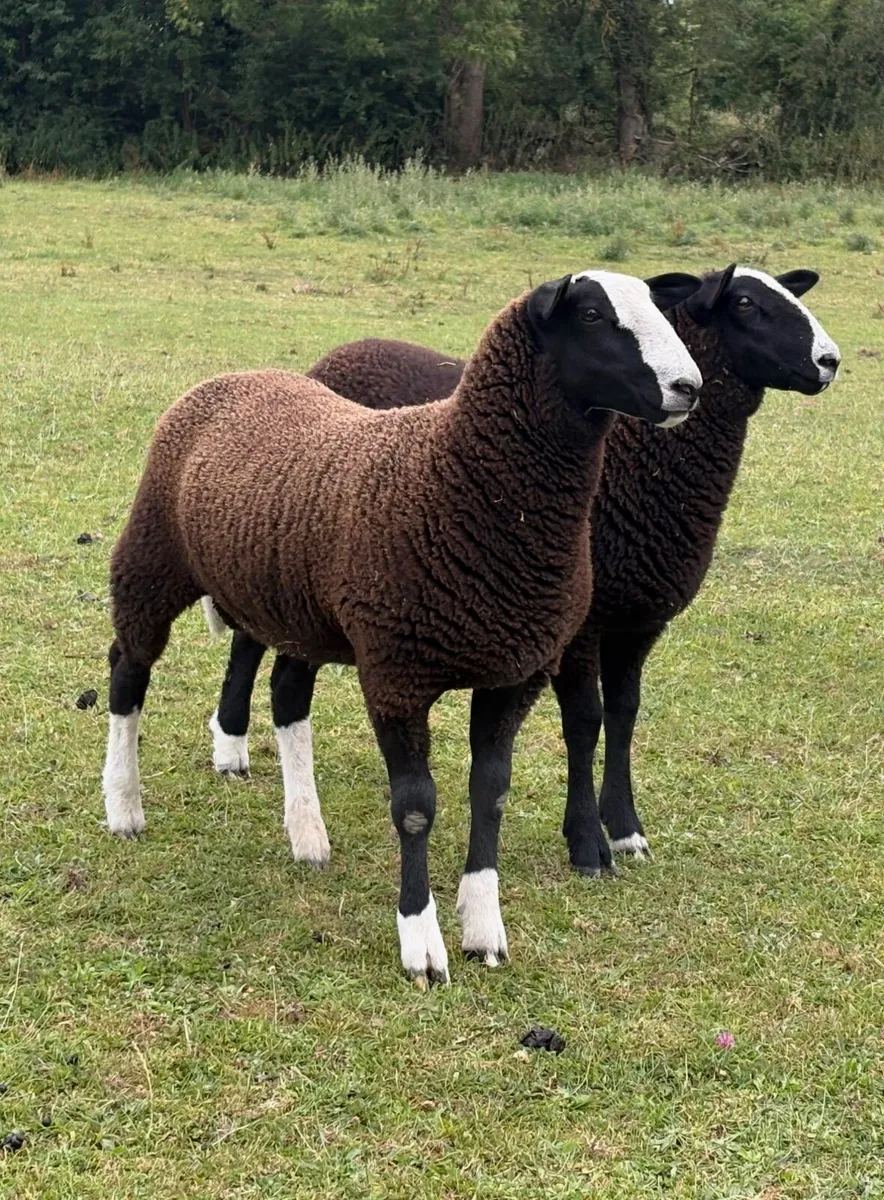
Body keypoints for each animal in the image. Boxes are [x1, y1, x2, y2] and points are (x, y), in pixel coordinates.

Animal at [102, 269, 703, 984]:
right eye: (589, 315)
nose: (690, 387)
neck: (461, 482)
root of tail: (235, 376)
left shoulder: (514, 673)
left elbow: (489, 794)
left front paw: (484, 929)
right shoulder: (397, 675)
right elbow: (415, 808)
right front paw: (422, 944)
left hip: (298, 608)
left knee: (287, 696)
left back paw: (308, 836)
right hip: (152, 560)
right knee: (127, 671)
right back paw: (124, 808)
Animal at [208, 263, 840, 877]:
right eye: (746, 304)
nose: (830, 361)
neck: (641, 463)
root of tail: (336, 356)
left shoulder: (638, 619)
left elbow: (625, 714)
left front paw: (626, 828)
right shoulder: (580, 627)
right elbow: (585, 721)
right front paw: (588, 843)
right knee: (247, 639)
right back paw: (230, 747)